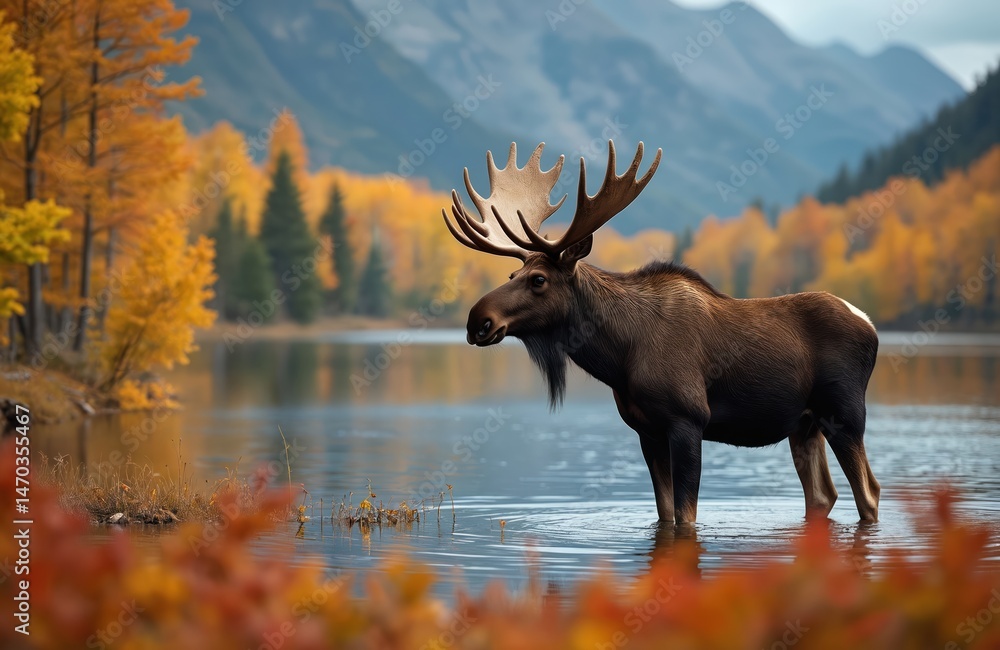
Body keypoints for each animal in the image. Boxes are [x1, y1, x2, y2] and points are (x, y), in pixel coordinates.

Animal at [441, 141, 881, 525]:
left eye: (538, 280)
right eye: (511, 275)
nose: (477, 320)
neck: (620, 356)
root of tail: (870, 324)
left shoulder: (688, 419)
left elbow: (686, 517)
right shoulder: (646, 429)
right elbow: (665, 515)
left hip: (844, 413)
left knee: (869, 493)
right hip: (804, 424)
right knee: (823, 495)